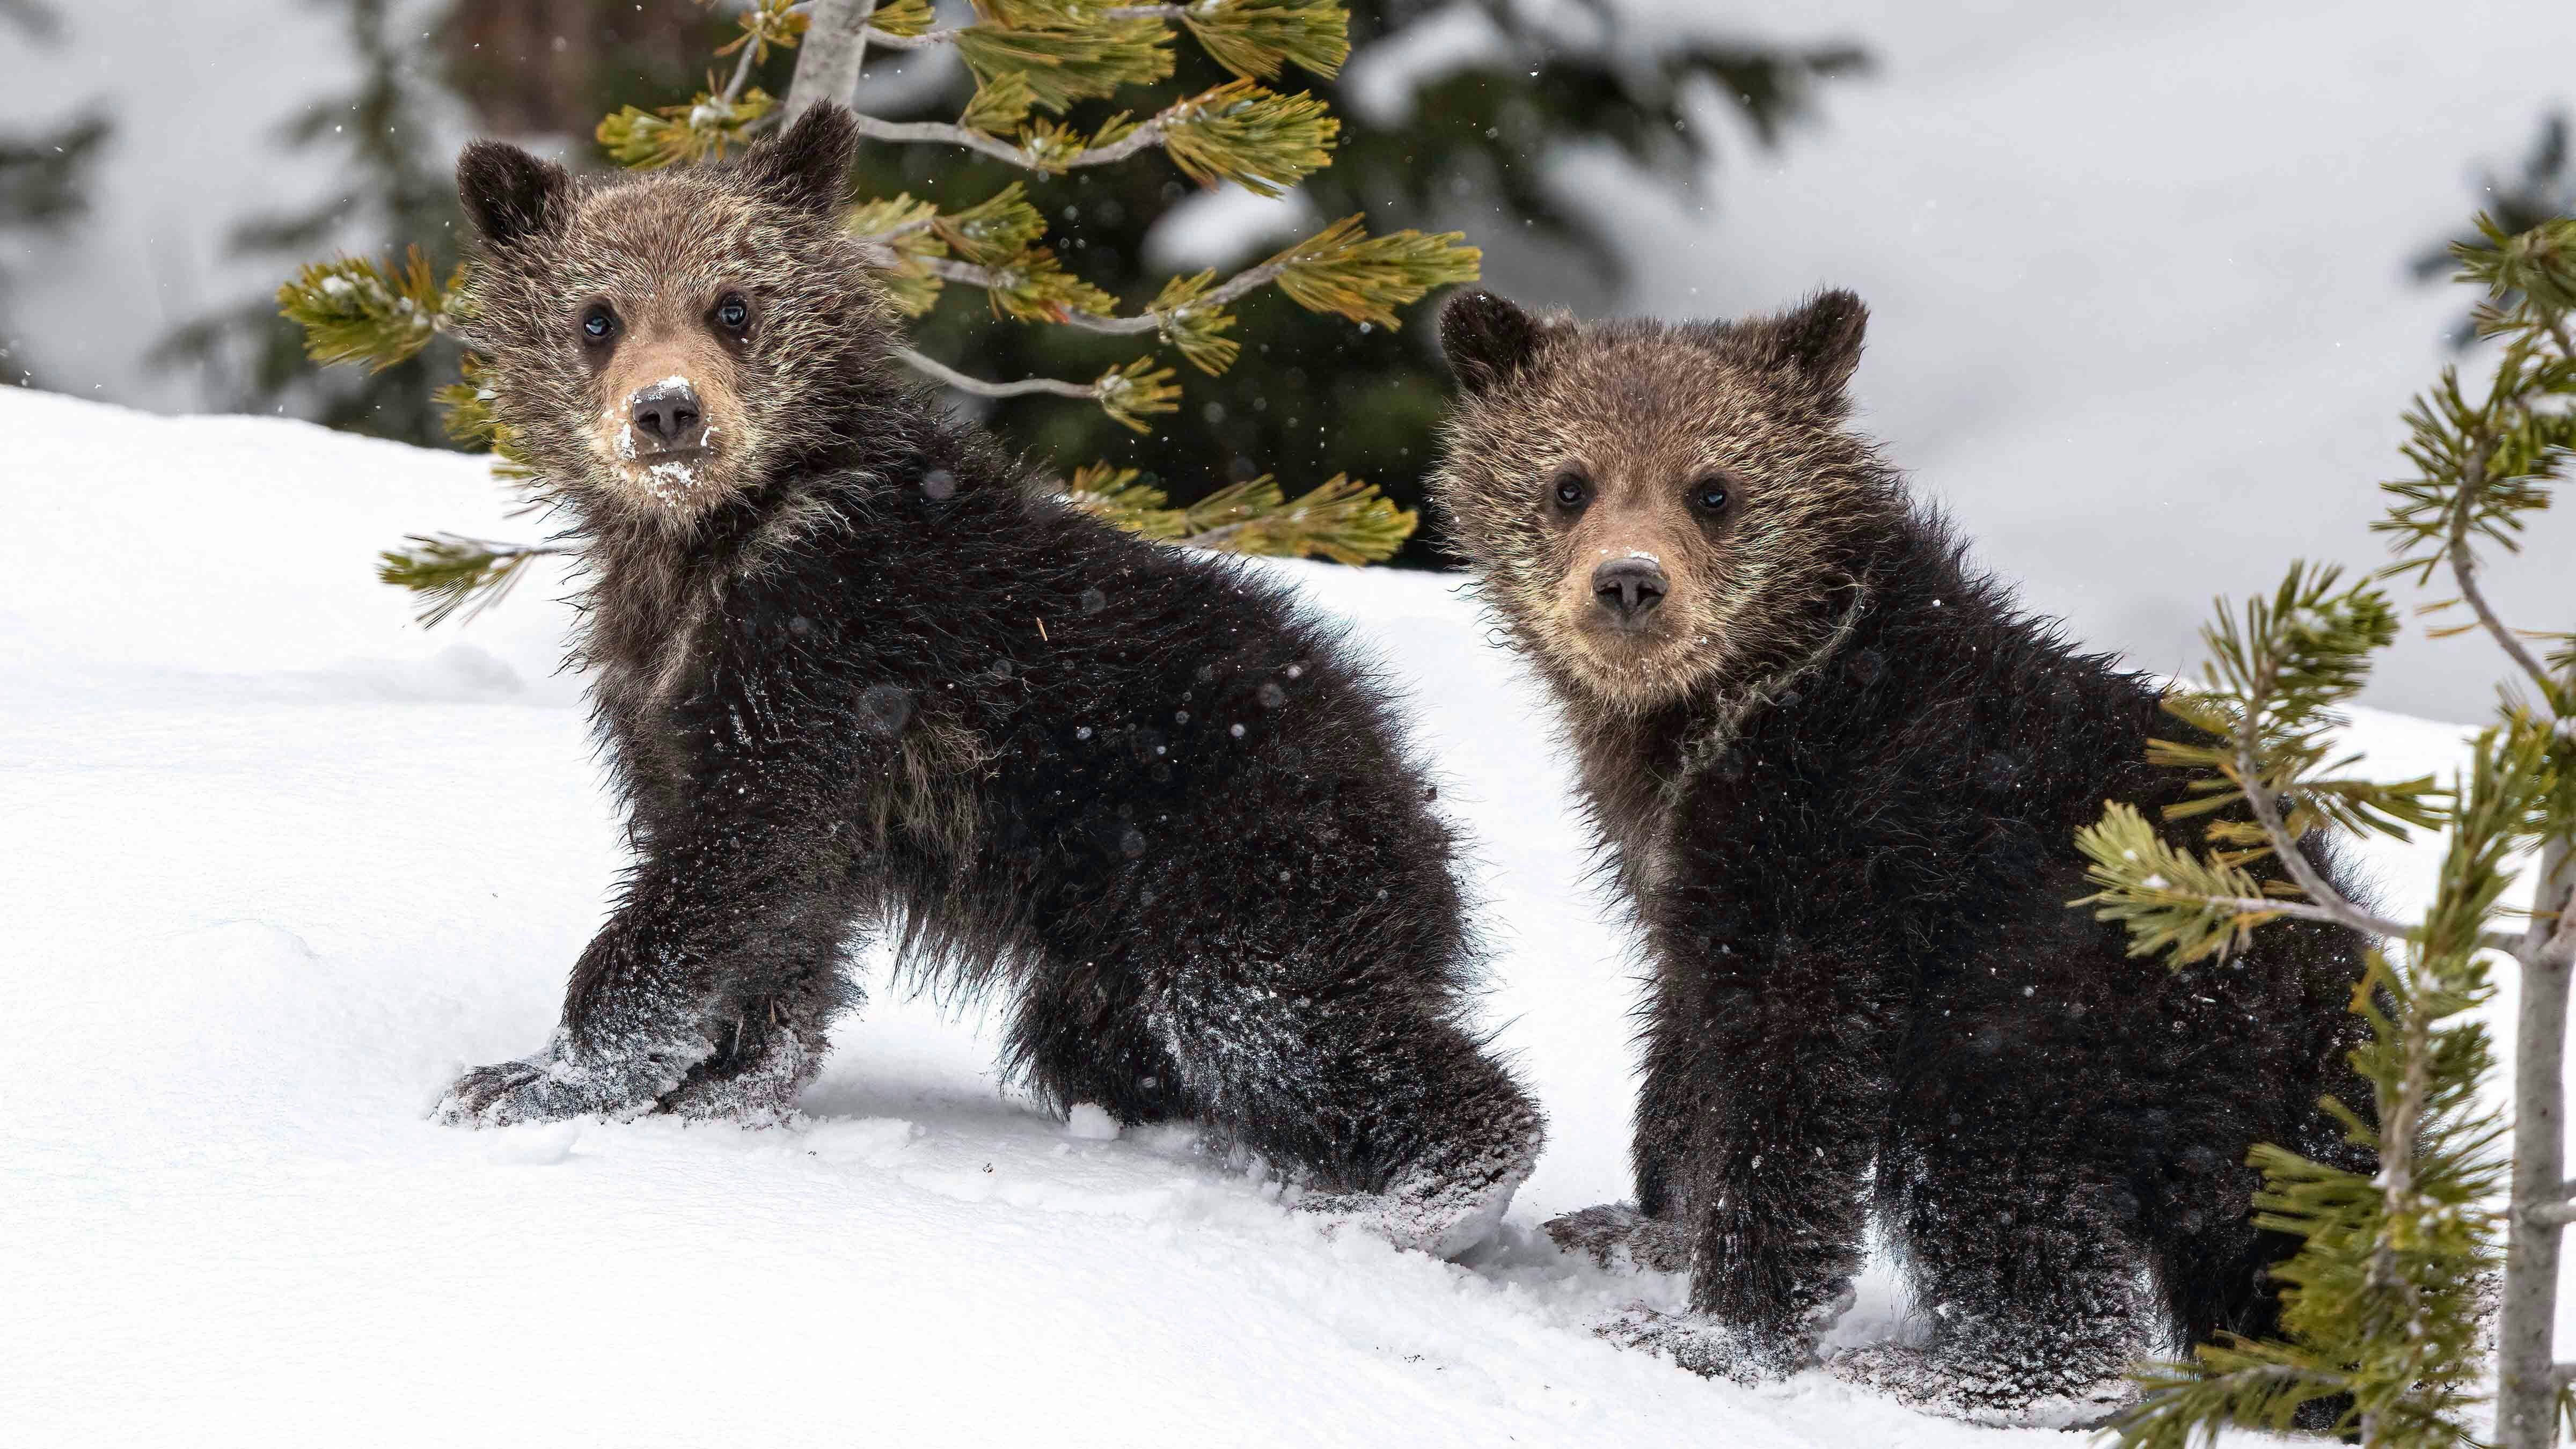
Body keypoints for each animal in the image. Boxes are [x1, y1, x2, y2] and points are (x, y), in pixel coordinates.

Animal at [425, 103, 1546, 1260]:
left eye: (733, 305)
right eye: (597, 317)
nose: (667, 412)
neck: (716, 544)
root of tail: (1418, 802)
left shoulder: (818, 665)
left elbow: (717, 880)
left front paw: (534, 1079)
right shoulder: (677, 705)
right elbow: (775, 909)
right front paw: (725, 1082)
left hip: (1248, 860)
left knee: (1271, 1012)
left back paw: (1420, 1194)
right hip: (1113, 951)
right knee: (1121, 1051)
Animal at [1427, 288, 2374, 1416]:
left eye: (1713, 489)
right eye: (1569, 483)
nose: (1629, 584)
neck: (1729, 715)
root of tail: (2332, 985)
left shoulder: (1840, 853)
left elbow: (1794, 1086)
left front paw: (1713, 1330)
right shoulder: (1681, 868)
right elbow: (1687, 1035)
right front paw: (1639, 1222)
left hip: (2070, 1000)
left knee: (2000, 1175)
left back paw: (1959, 1369)